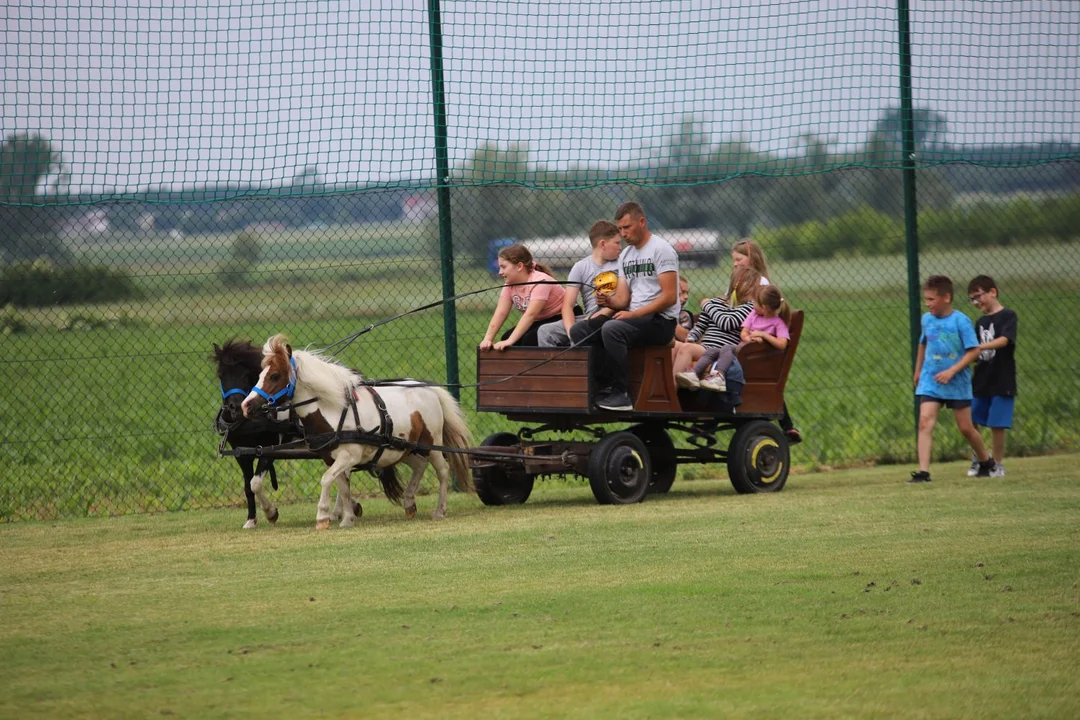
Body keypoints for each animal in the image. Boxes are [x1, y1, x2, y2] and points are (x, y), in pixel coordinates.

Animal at [243, 334, 475, 528]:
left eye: (274, 376)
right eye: (260, 374)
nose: (246, 406)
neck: (333, 410)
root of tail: (428, 388)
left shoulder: (349, 456)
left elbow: (326, 479)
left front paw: (323, 516)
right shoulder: (332, 458)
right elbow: (342, 486)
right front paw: (347, 519)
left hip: (431, 444)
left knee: (443, 470)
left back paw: (439, 510)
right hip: (402, 448)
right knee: (419, 465)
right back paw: (409, 503)